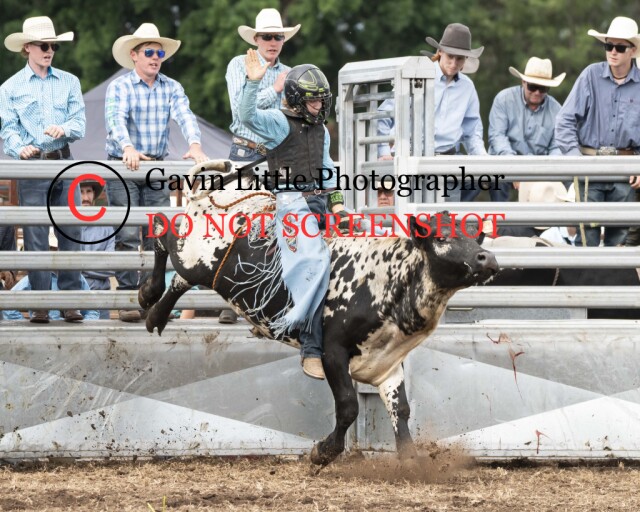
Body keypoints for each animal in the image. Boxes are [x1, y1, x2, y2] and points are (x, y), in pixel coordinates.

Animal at [139, 160, 499, 467]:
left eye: (474, 235)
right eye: (442, 237)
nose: (488, 259)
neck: (387, 278)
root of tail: (216, 192)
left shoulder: (386, 365)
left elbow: (402, 410)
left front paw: (411, 460)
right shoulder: (332, 350)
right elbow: (348, 406)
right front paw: (323, 452)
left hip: (199, 265)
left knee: (178, 276)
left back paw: (156, 314)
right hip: (194, 255)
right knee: (161, 231)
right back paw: (148, 293)